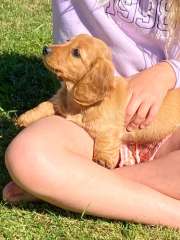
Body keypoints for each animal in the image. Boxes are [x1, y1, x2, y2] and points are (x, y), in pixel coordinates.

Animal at [17, 33, 180, 169]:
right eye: (67, 41)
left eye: (76, 53)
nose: (45, 49)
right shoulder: (58, 102)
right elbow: (44, 105)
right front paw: (25, 117)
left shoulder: (112, 126)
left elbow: (106, 138)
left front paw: (103, 158)